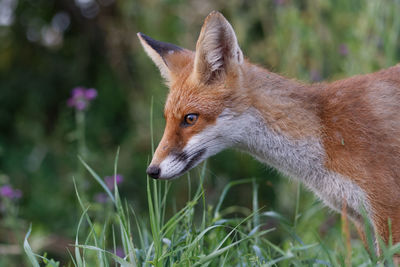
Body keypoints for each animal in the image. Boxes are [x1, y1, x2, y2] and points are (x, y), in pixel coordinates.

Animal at [138, 10, 400, 253]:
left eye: (190, 118)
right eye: (167, 119)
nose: (152, 170)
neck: (326, 133)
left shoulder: (388, 212)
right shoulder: (359, 219)